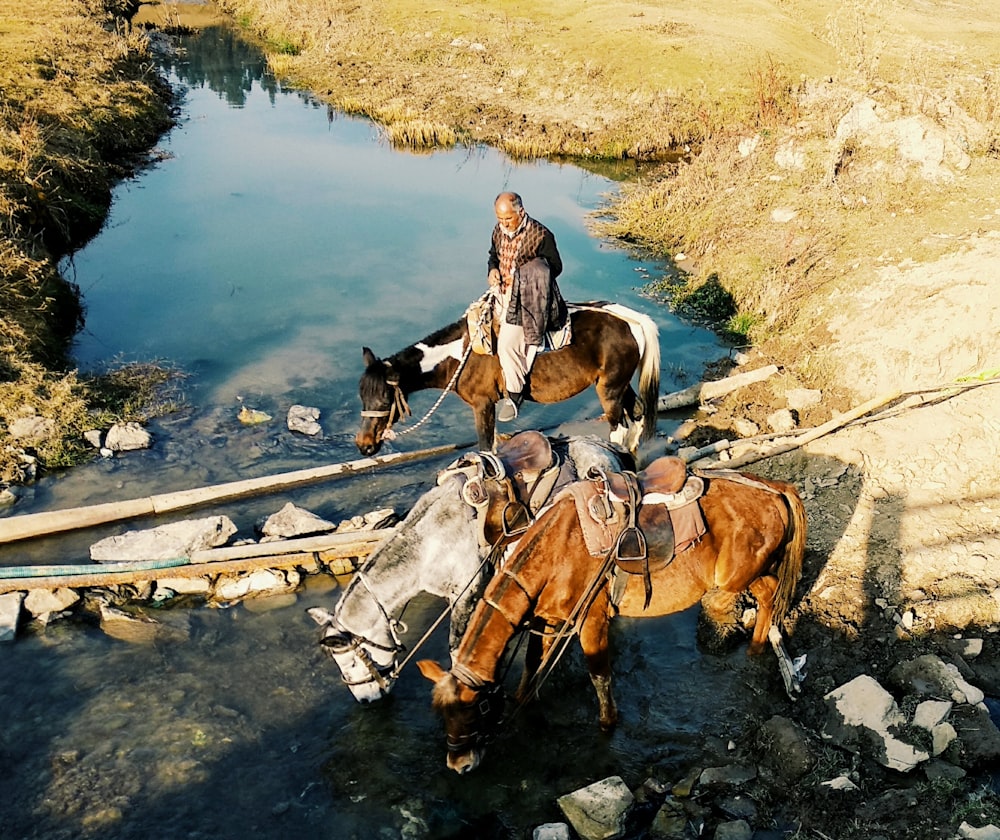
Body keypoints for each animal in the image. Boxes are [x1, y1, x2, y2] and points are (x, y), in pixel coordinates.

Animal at [308, 434, 628, 704]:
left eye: (351, 660)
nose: (366, 700)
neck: (429, 544)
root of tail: (605, 447)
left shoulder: (464, 593)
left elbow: (456, 648)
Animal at [356, 302, 660, 456]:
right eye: (362, 396)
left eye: (383, 399)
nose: (363, 445)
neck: (461, 353)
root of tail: (632, 320)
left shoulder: (483, 404)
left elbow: (485, 446)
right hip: (620, 385)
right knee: (636, 419)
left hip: (609, 389)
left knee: (619, 430)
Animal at [418, 466, 808, 776]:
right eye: (441, 713)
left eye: (477, 707)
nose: (459, 764)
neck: (556, 553)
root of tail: (773, 488)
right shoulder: (549, 621)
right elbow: (530, 668)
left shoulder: (590, 621)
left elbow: (600, 676)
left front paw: (607, 725)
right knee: (769, 593)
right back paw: (757, 648)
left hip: (736, 577)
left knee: (768, 592)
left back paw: (755, 645)